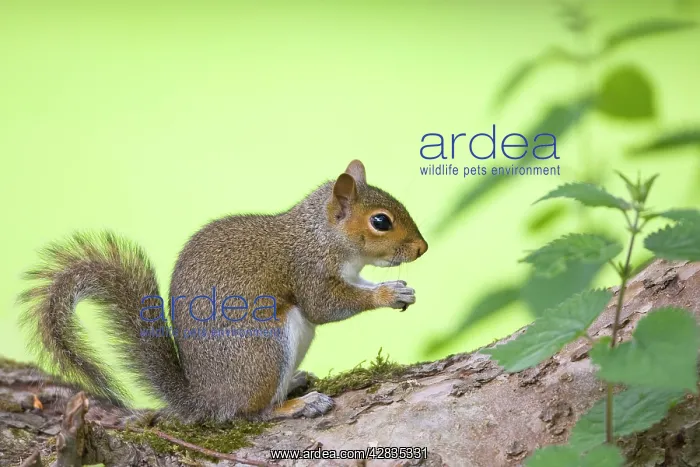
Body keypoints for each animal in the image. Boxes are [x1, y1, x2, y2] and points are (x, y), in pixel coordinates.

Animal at [18, 160, 428, 422]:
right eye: (380, 221)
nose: (422, 249)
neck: (321, 236)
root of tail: (207, 399)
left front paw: (399, 289)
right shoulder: (308, 269)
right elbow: (325, 306)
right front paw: (386, 295)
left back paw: (295, 382)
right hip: (265, 348)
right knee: (253, 413)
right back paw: (295, 405)